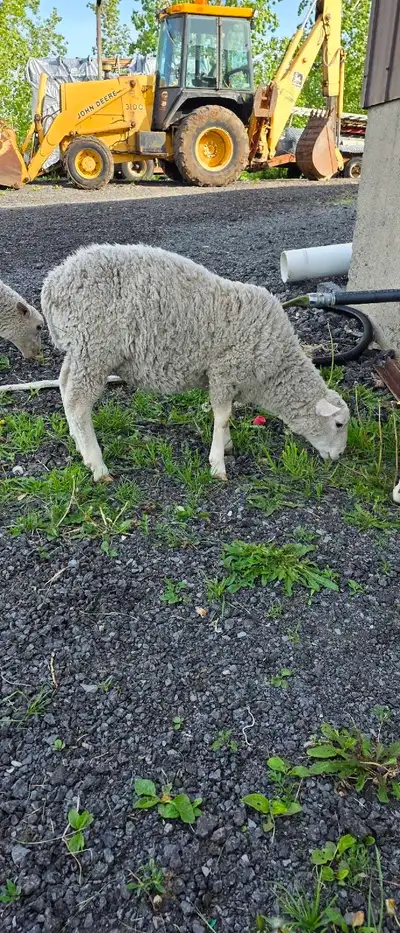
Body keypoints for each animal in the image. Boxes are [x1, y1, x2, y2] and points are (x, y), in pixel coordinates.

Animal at [39, 242, 351, 485]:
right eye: (338, 424)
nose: (338, 457)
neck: (274, 371)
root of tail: (52, 284)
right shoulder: (225, 371)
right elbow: (222, 417)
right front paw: (218, 464)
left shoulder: (226, 379)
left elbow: (226, 417)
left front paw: (226, 446)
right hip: (95, 349)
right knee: (79, 403)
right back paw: (97, 464)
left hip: (81, 351)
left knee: (65, 385)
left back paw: (77, 439)